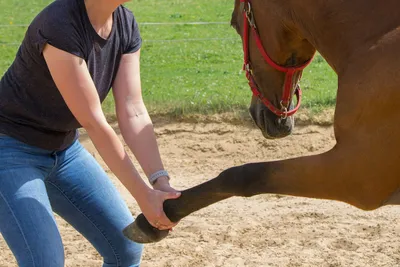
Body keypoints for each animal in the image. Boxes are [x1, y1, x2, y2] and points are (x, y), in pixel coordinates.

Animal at [125, 0, 400, 244]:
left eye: (236, 23)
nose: (257, 113)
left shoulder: (354, 174)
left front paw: (155, 219)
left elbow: (241, 176)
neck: (375, 39)